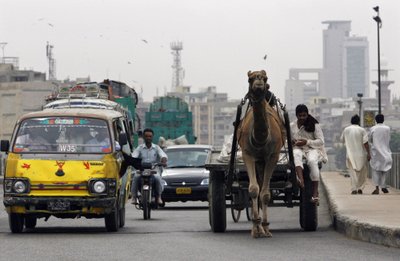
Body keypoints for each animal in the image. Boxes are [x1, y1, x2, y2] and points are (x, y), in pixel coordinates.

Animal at [238, 69, 284, 238]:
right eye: (250, 78)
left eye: (265, 78)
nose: (259, 84)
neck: (260, 139)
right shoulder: (248, 154)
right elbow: (253, 190)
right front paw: (256, 229)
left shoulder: (273, 156)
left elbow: (265, 194)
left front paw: (265, 228)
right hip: (258, 161)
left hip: (263, 161)